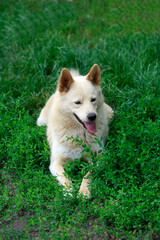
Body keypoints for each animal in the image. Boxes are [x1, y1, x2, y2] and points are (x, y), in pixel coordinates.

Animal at [37, 63, 113, 197]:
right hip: (41, 122)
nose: (92, 116)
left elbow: (88, 174)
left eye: (93, 99)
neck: (79, 134)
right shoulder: (56, 163)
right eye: (77, 102)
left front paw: (83, 192)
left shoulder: (100, 157)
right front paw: (69, 192)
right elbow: (64, 177)